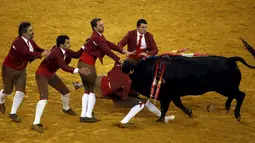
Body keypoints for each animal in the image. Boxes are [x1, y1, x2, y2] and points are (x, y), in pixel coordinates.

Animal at [122, 54, 254, 122]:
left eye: (130, 78)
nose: (125, 92)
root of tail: (230, 59)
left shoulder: (168, 95)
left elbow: (166, 107)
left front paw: (160, 120)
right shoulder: (173, 95)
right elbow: (177, 104)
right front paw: (189, 112)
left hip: (225, 88)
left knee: (240, 95)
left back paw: (237, 115)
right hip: (227, 88)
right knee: (234, 96)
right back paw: (227, 107)